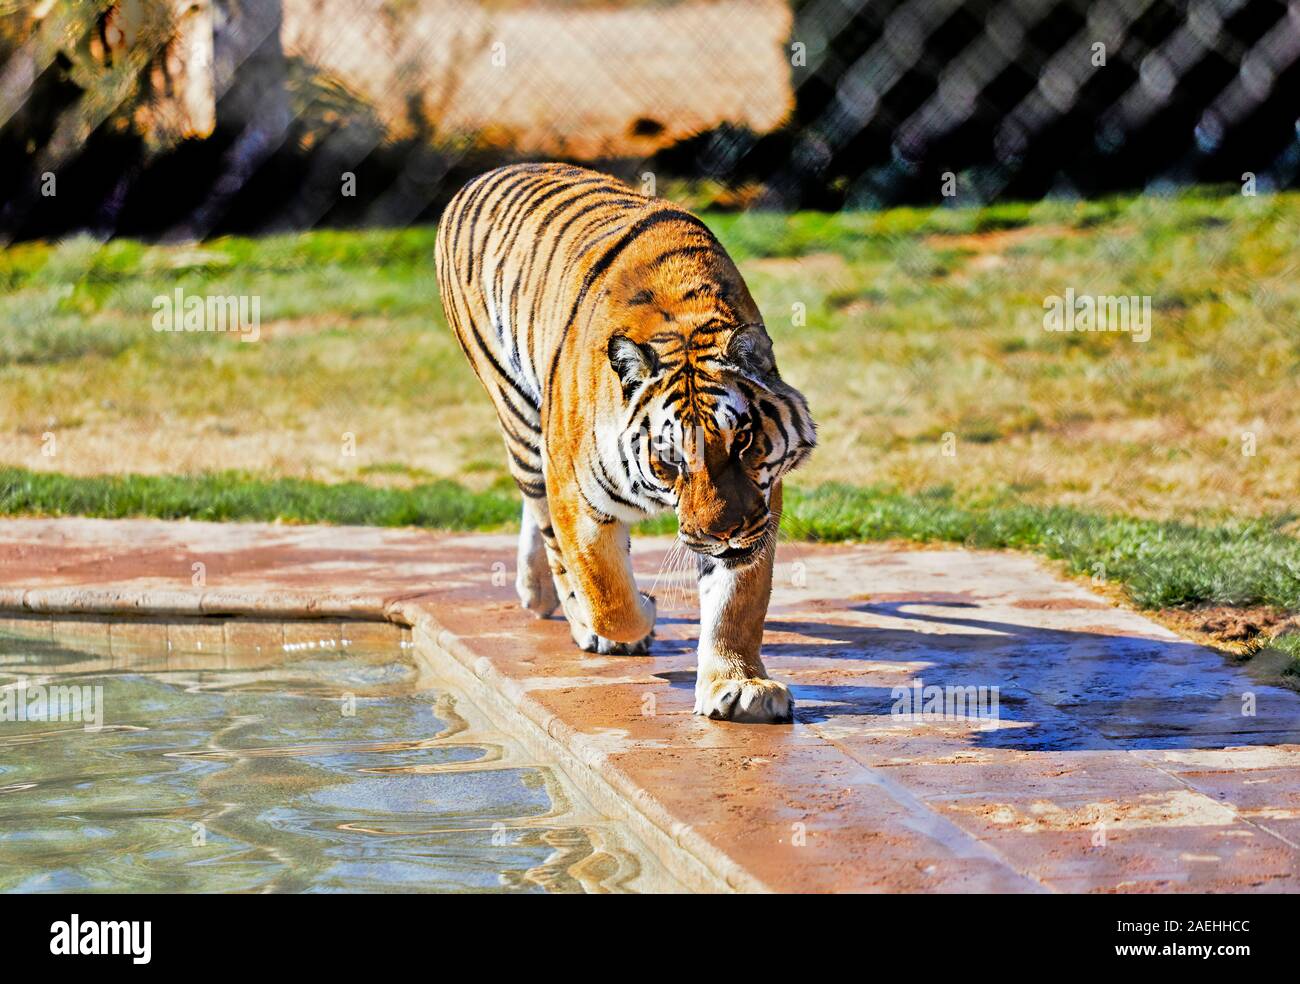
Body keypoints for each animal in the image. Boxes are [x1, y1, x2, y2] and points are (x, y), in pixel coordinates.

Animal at [434, 163, 816, 723]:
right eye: (669, 459)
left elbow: (736, 602)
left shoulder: (761, 504)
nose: (722, 532)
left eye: (743, 441)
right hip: (521, 422)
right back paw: (566, 608)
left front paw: (740, 686)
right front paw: (630, 623)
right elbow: (608, 596)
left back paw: (534, 593)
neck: (685, 322)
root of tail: (482, 175)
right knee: (546, 526)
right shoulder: (574, 491)